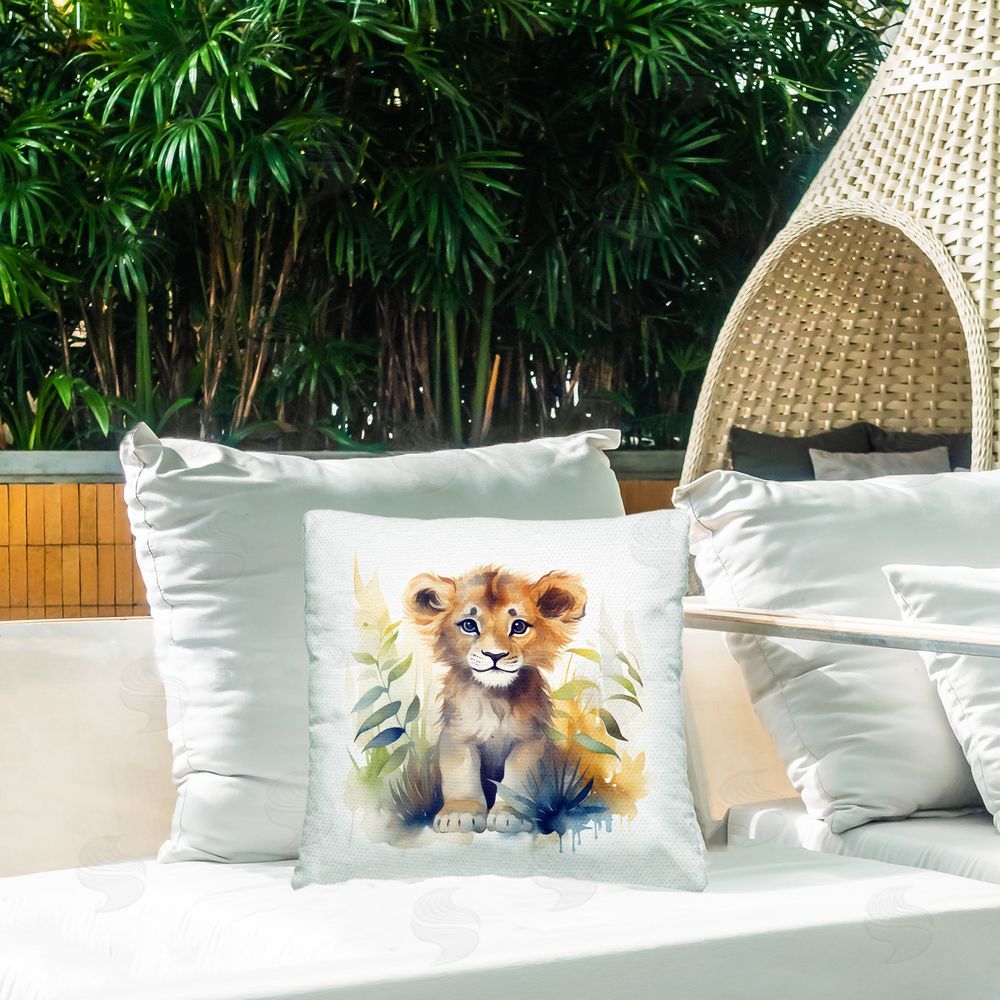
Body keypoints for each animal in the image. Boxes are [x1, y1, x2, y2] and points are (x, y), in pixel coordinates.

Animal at [403, 566, 587, 835]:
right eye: (469, 625)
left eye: (518, 626)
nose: (494, 655)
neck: (494, 696)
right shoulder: (458, 734)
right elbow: (461, 774)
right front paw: (461, 813)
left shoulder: (530, 739)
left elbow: (517, 779)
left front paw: (510, 816)